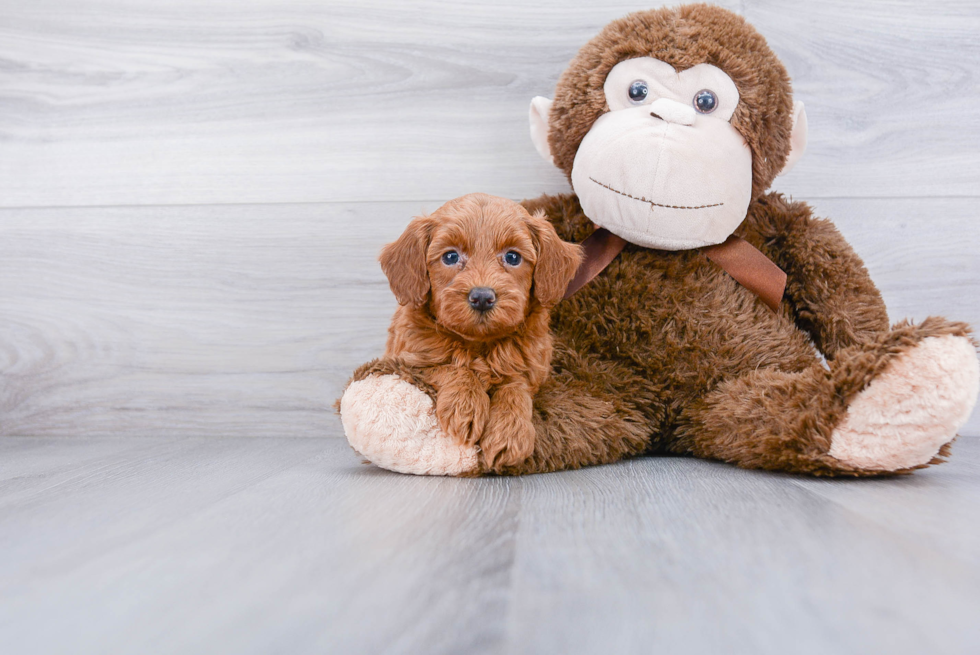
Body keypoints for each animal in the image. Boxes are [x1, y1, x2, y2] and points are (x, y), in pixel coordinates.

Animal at [380, 193, 580, 472]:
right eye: (450, 257)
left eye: (513, 257)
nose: (483, 297)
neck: (479, 344)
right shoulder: (408, 361)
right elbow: (452, 367)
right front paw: (465, 406)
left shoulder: (531, 369)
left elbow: (515, 387)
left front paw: (509, 432)